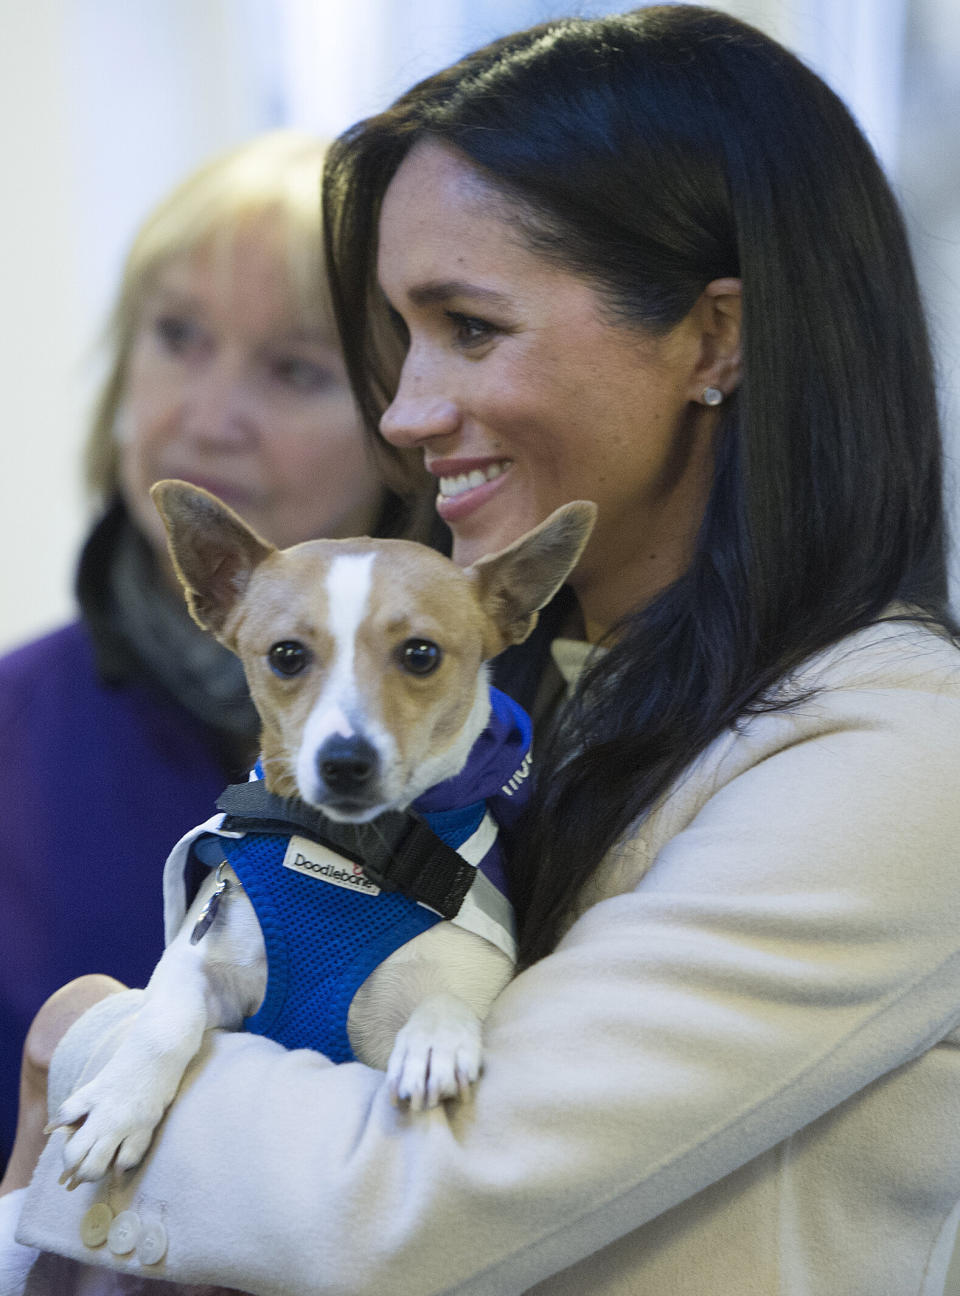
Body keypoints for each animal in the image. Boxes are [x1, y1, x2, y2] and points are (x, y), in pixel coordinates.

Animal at [52, 479, 595, 1187]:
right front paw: (120, 1105)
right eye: (287, 655)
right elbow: (164, 1019)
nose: (345, 761)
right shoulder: (203, 965)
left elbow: (447, 1001)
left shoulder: (466, 982)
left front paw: (435, 1040)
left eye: (421, 654)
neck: (346, 853)